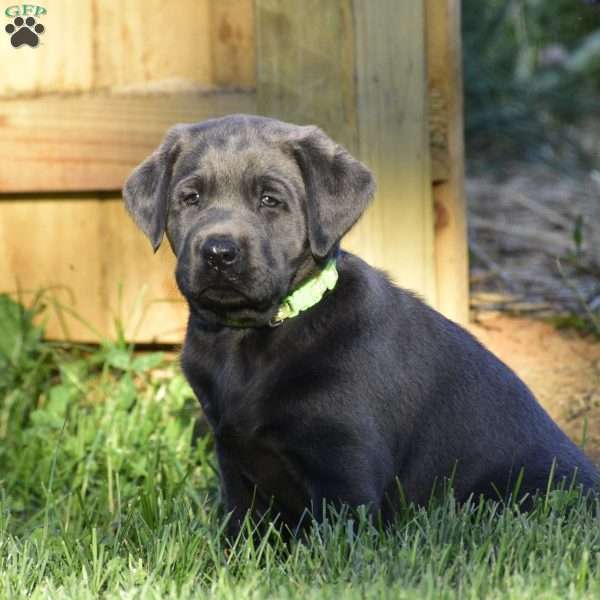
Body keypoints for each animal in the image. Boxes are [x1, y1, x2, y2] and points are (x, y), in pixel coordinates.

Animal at [124, 113, 596, 536]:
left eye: (269, 200)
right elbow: (242, 529)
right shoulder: (235, 462)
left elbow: (335, 543)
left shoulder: (344, 467)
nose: (219, 252)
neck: (251, 339)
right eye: (191, 198)